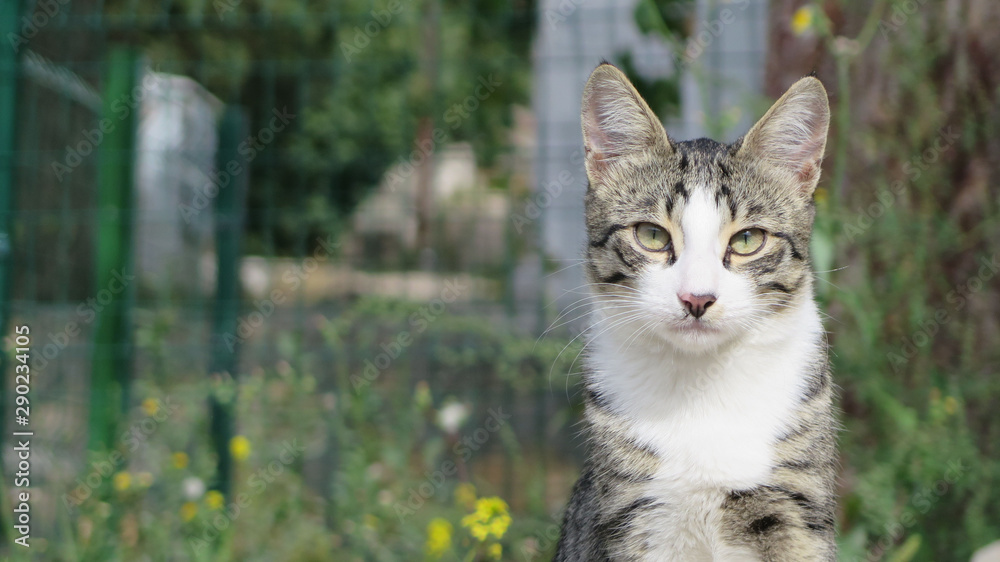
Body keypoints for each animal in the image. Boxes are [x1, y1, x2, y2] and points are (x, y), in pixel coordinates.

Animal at [556, 62, 836, 560]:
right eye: (651, 235)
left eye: (748, 240)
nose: (697, 298)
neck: (702, 385)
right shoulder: (633, 512)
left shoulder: (794, 507)